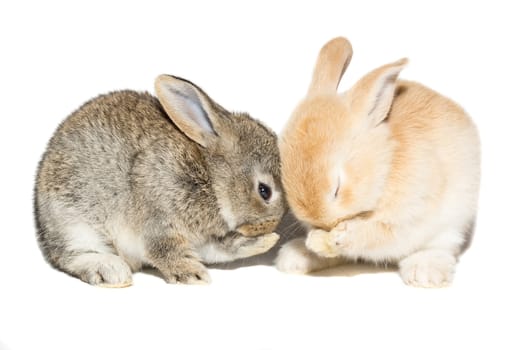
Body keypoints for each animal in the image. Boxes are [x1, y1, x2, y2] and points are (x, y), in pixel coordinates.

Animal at [34, 74, 284, 288]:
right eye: (264, 191)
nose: (270, 226)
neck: (211, 180)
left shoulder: (204, 241)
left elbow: (219, 250)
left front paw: (265, 242)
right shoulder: (159, 219)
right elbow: (166, 250)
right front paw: (193, 275)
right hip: (73, 223)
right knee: (72, 255)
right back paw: (111, 271)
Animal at [276, 37, 482, 288]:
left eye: (337, 188)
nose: (324, 225)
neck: (385, 165)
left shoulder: (406, 214)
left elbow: (375, 234)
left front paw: (342, 235)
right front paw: (316, 241)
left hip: (452, 222)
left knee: (439, 246)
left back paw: (424, 272)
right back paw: (296, 256)